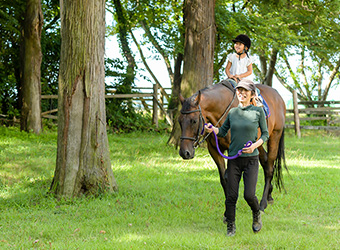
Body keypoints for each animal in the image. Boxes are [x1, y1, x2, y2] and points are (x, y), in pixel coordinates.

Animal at [178, 81, 286, 214]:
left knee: (270, 167)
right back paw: (269, 196)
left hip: (275, 136)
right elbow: (224, 179)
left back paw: (262, 204)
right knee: (265, 161)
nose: (185, 152)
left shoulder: (232, 150)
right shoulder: (214, 150)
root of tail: (278, 97)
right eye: (179, 121)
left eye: (193, 121)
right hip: (256, 144)